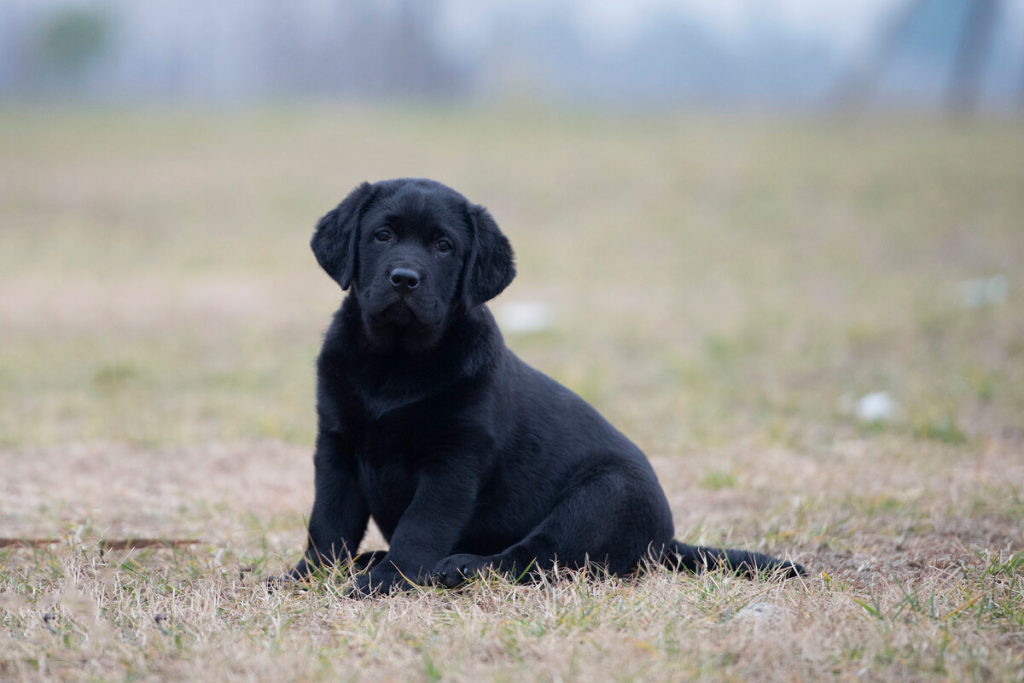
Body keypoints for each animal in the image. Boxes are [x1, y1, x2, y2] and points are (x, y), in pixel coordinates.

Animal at [286, 179, 798, 593]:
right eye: (383, 235)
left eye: (443, 246)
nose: (405, 279)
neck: (395, 363)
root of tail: (666, 542)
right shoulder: (336, 447)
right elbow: (328, 522)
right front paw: (305, 576)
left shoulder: (454, 460)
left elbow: (421, 525)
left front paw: (391, 580)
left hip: (604, 495)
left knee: (539, 556)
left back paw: (461, 567)